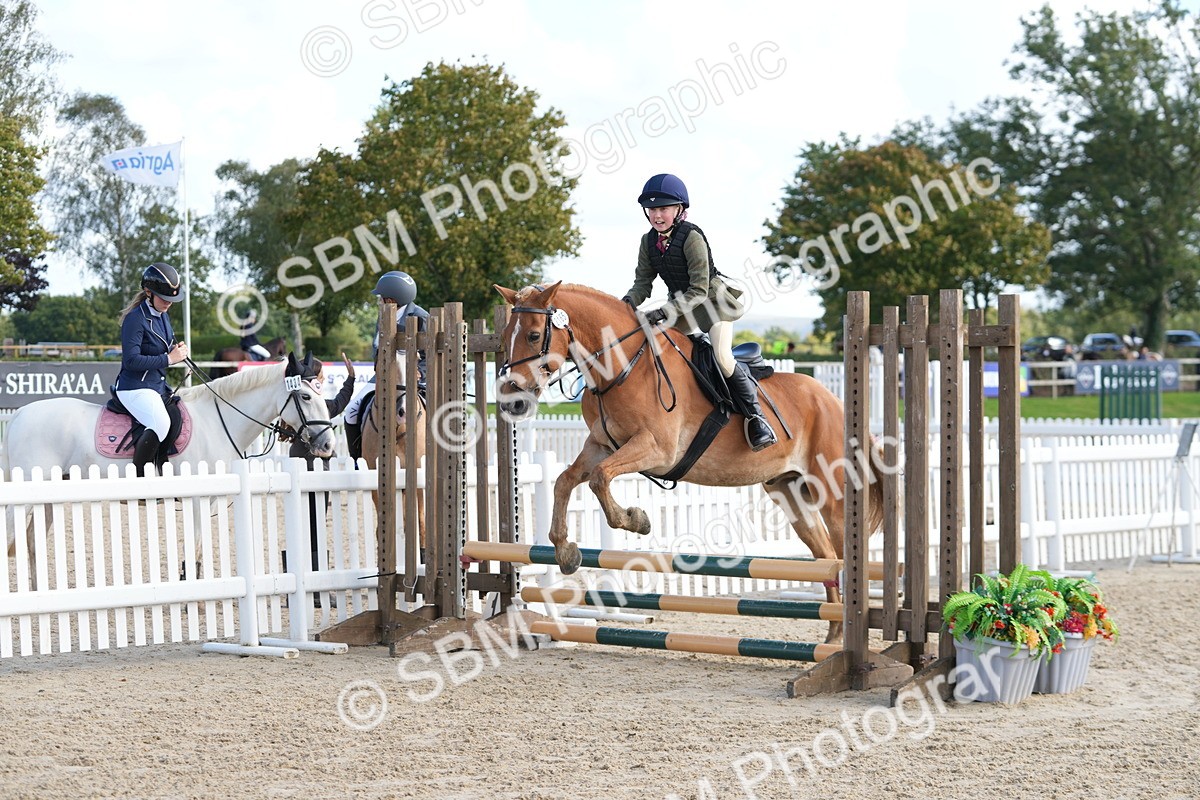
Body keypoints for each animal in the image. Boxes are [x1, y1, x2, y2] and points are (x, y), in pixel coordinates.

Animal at [3, 353, 338, 578]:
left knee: (31, 542)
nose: (327, 446)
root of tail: (19, 415)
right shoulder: (197, 499)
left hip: (47, 495)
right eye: (305, 396)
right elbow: (196, 545)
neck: (218, 420)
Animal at [493, 282, 885, 643]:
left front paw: (636, 519)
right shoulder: (601, 446)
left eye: (533, 335)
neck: (621, 365)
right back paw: (834, 635)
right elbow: (566, 480)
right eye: (504, 337)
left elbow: (600, 479)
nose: (512, 403)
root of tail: (836, 402)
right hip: (790, 493)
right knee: (825, 557)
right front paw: (566, 551)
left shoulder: (656, 450)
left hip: (834, 494)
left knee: (841, 553)